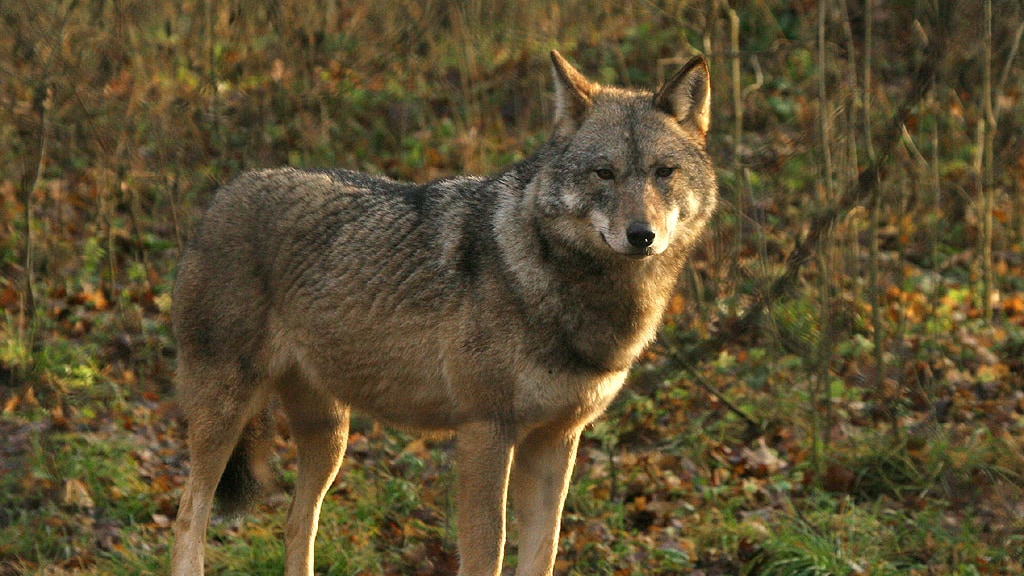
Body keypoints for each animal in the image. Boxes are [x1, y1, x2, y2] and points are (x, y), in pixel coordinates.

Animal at [169, 50, 716, 576]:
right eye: (604, 172)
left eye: (663, 172)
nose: (641, 235)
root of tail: (222, 195)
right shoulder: (484, 431)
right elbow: (487, 552)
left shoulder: (557, 440)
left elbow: (544, 552)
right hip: (227, 415)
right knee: (189, 513)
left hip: (329, 437)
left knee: (296, 523)